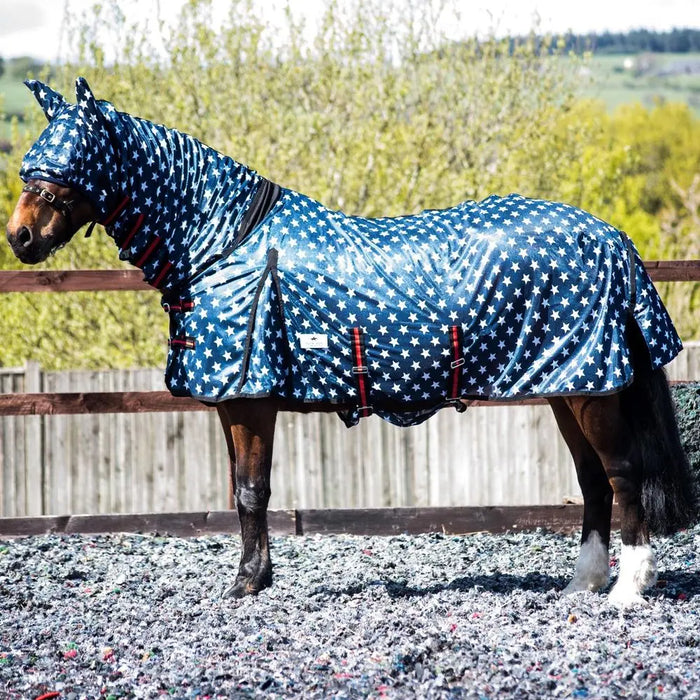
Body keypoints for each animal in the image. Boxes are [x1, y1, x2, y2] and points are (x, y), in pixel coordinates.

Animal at [6, 78, 696, 607]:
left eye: (66, 165)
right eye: (30, 163)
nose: (19, 237)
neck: (225, 242)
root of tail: (612, 238)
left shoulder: (251, 401)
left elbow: (253, 490)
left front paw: (246, 585)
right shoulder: (234, 405)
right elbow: (242, 491)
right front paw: (254, 579)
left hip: (592, 392)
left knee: (623, 476)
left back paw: (626, 592)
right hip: (568, 386)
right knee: (593, 481)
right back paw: (582, 583)